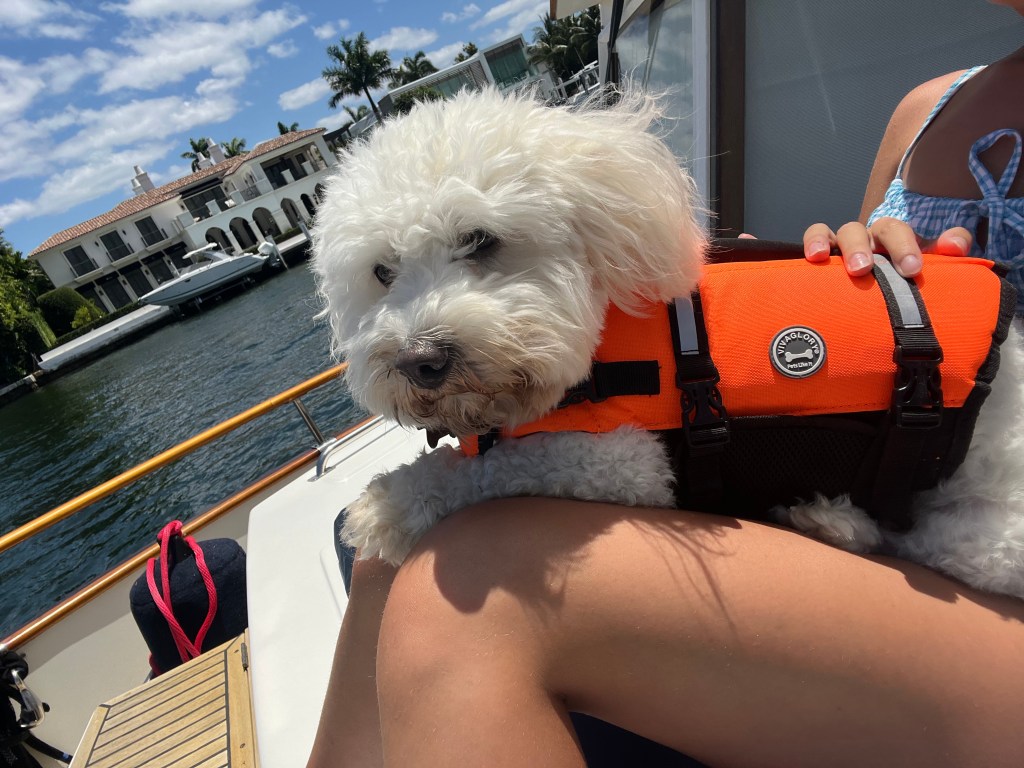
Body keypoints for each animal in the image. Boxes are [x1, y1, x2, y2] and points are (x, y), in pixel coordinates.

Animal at [312, 87, 1024, 600]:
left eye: (480, 240)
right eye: (382, 273)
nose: (421, 361)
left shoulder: (626, 461)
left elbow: (493, 467)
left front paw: (391, 504)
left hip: (990, 530)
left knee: (940, 543)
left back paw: (832, 521)